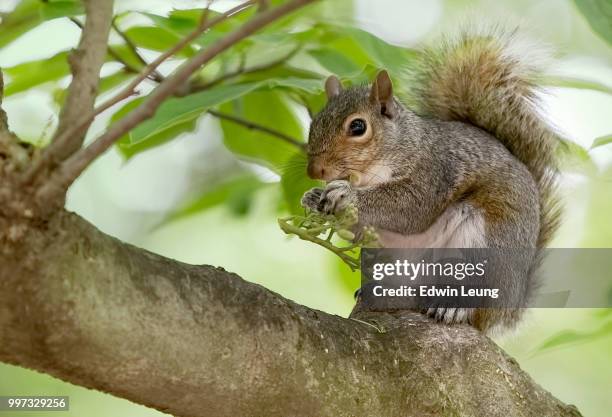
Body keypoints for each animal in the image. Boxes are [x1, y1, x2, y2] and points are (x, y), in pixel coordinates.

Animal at [298, 26, 560, 332]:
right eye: (314, 122)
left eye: (358, 126)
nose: (314, 171)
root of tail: (508, 307)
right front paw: (314, 197)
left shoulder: (433, 173)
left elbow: (411, 209)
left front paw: (345, 194)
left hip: (482, 245)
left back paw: (453, 307)